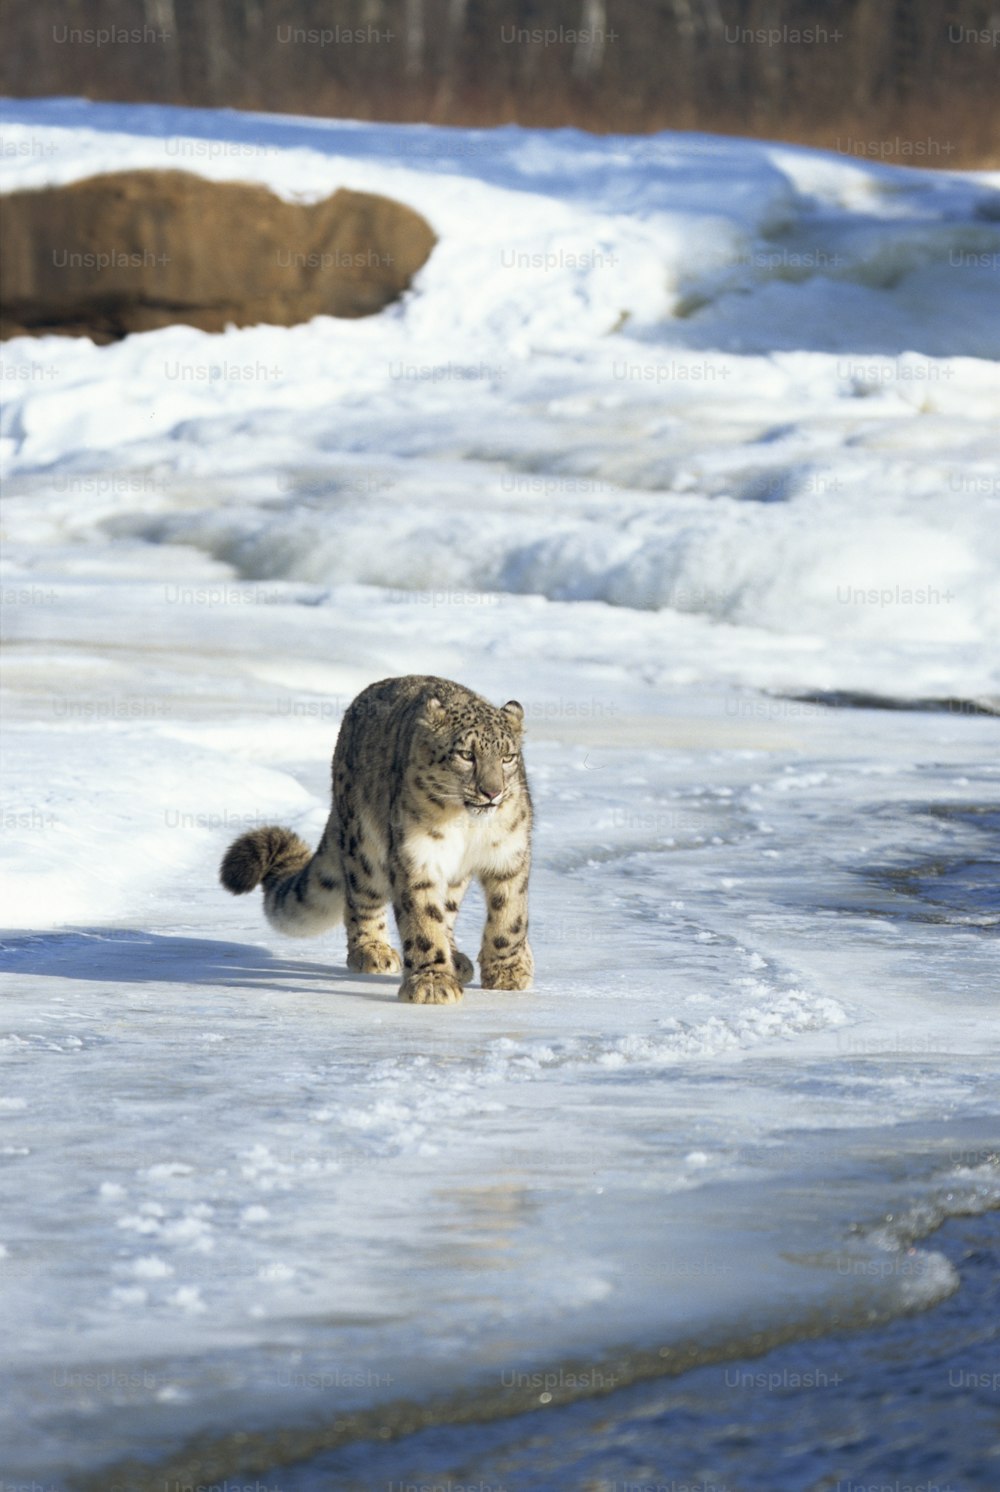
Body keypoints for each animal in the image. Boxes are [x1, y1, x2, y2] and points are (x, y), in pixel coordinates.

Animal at [219, 674, 531, 1002]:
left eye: (508, 757)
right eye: (466, 755)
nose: (492, 792)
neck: (466, 824)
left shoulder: (508, 854)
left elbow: (509, 918)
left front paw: (508, 974)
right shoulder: (417, 857)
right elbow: (423, 921)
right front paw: (432, 983)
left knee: (447, 908)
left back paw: (457, 959)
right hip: (363, 847)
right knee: (361, 899)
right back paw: (373, 951)